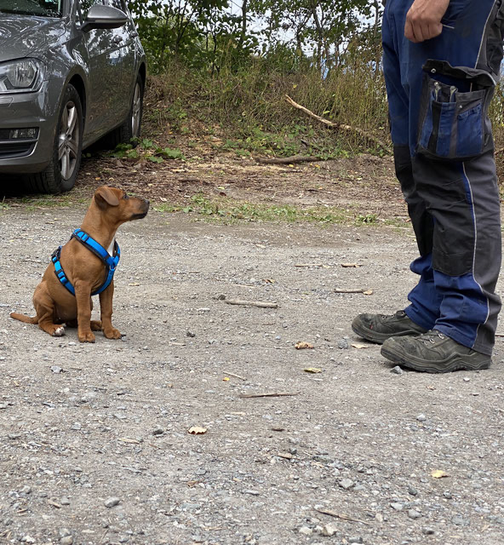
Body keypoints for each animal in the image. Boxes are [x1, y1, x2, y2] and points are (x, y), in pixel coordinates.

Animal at [10, 185, 149, 342]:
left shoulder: (108, 285)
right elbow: (84, 312)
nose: (148, 201)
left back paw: (95, 324)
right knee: (44, 322)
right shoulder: (83, 284)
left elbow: (107, 310)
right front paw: (85, 335)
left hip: (86, 301)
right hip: (44, 295)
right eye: (125, 196)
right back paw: (56, 329)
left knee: (72, 321)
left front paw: (109, 331)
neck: (100, 237)